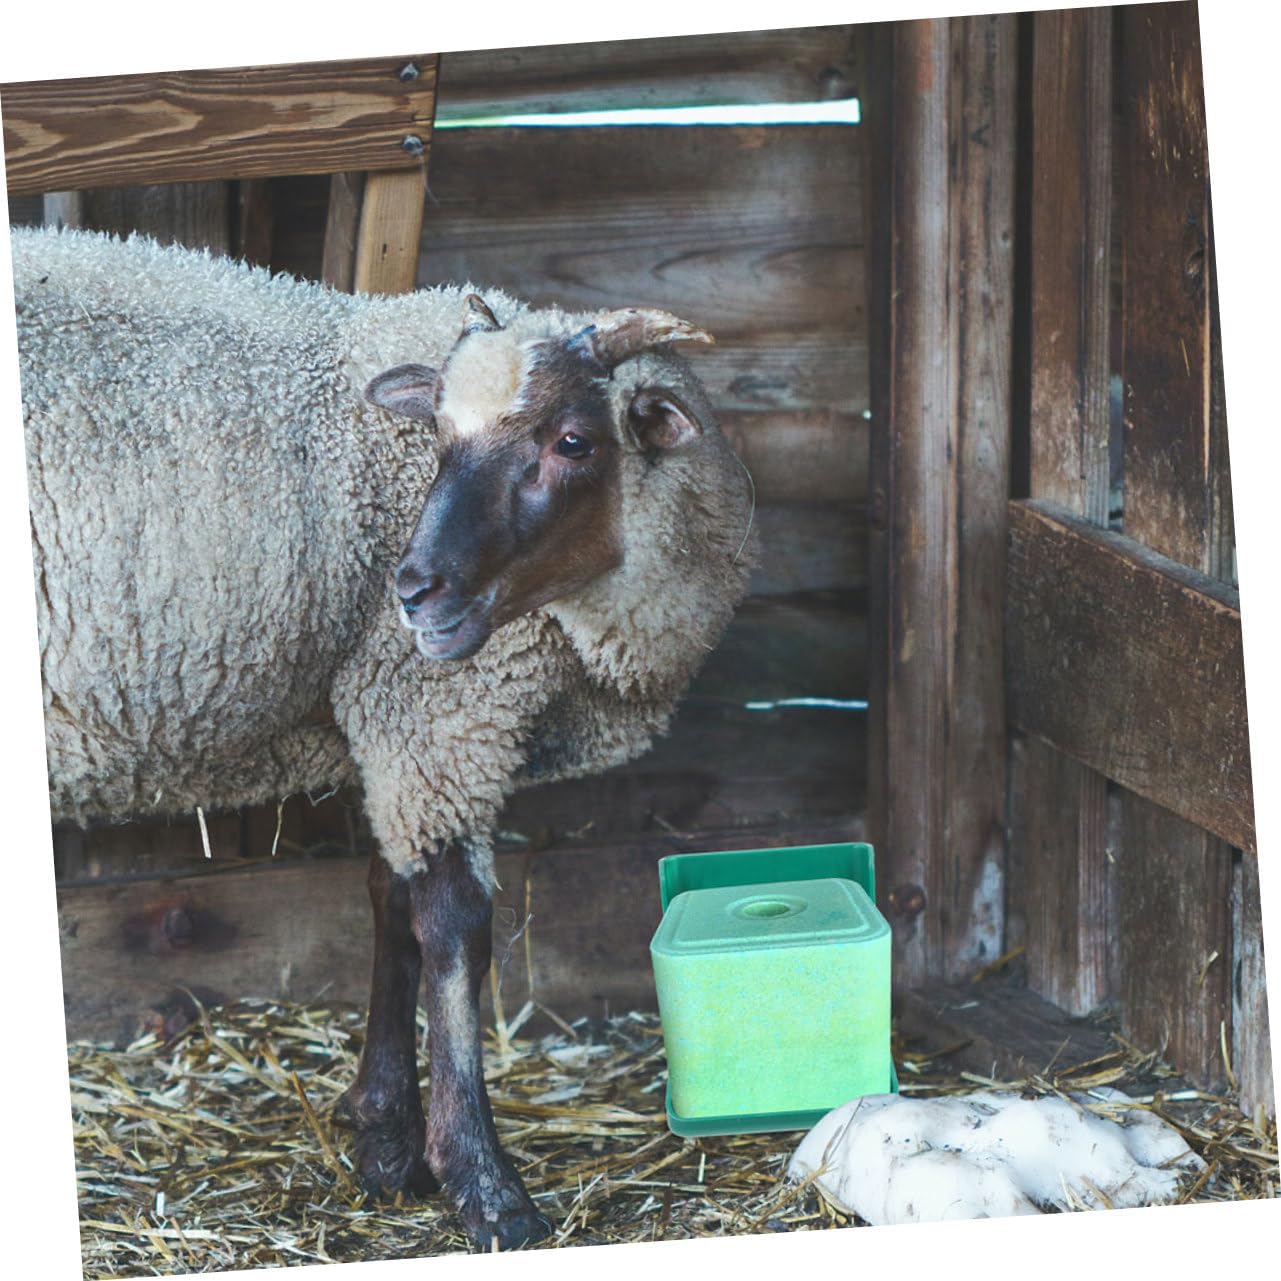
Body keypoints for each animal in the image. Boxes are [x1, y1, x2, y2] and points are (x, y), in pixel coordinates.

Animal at [13, 224, 756, 1251]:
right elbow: (452, 924)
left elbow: (386, 895)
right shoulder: (433, 708)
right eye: (438, 438)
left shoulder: (395, 719)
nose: (416, 591)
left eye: (572, 440)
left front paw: (387, 1140)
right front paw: (481, 1183)